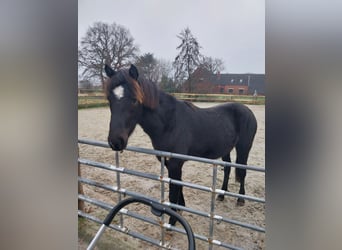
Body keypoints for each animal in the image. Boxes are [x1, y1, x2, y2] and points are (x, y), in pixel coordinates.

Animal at [104, 64, 256, 225]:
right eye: (109, 99)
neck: (169, 123)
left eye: (134, 100)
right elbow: (179, 185)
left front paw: (172, 221)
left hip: (244, 148)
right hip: (226, 149)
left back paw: (240, 199)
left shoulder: (175, 163)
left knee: (243, 171)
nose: (116, 141)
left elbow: (173, 191)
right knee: (227, 168)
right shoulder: (169, 163)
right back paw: (221, 195)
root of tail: (247, 110)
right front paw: (180, 209)